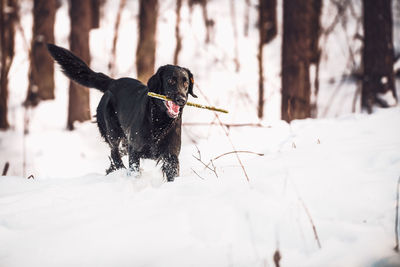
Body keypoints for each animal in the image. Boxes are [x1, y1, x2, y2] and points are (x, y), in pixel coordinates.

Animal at [47, 44, 197, 182]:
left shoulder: (171, 156)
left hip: (125, 141)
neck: (159, 121)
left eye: (186, 83)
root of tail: (113, 82)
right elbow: (134, 169)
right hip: (113, 132)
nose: (181, 100)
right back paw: (119, 170)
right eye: (170, 80)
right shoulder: (135, 150)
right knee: (114, 153)